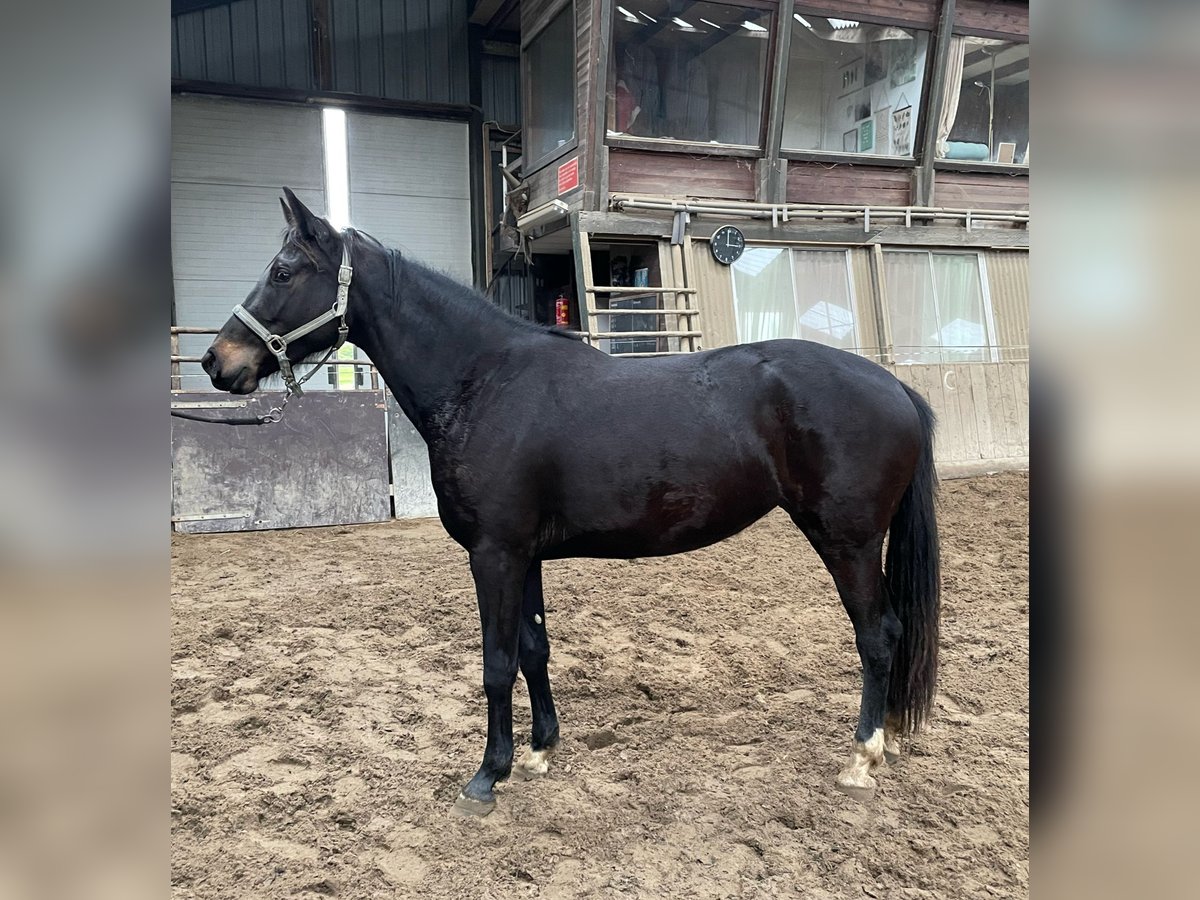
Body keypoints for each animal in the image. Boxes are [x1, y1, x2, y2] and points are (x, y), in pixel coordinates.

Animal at [201, 190, 940, 816]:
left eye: (284, 272)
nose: (216, 362)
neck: (483, 381)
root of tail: (897, 389)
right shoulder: (523, 554)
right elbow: (534, 648)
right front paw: (538, 751)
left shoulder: (494, 554)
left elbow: (496, 663)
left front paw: (487, 775)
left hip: (847, 541)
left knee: (878, 635)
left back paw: (861, 757)